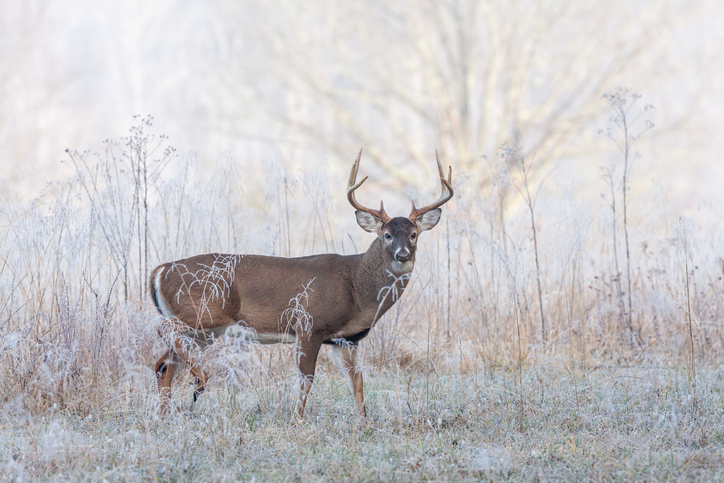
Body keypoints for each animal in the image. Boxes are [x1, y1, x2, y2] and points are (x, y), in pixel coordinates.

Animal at [149, 149, 450, 418]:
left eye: (414, 234)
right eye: (387, 235)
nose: (403, 254)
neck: (355, 288)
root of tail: (161, 270)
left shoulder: (345, 339)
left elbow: (358, 381)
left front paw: (364, 422)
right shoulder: (309, 325)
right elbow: (307, 379)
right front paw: (297, 420)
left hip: (207, 331)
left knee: (164, 364)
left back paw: (167, 413)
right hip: (204, 313)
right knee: (164, 333)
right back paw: (200, 379)